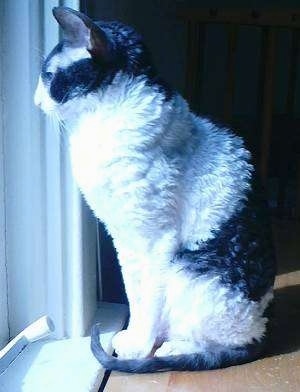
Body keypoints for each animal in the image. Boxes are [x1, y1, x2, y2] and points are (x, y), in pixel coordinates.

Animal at [34, 6, 276, 374]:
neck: (94, 130)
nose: (35, 101)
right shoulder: (123, 238)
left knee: (224, 342)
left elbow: (148, 301)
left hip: (189, 273)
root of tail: (263, 329)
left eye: (47, 76)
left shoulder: (154, 241)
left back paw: (174, 347)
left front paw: (138, 347)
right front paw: (134, 337)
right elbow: (135, 296)